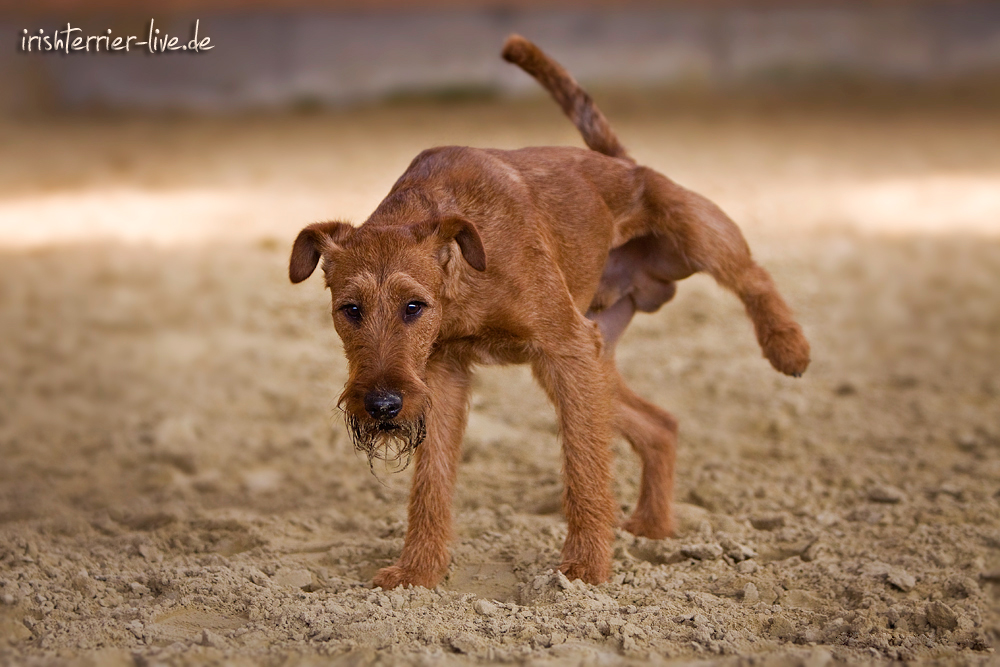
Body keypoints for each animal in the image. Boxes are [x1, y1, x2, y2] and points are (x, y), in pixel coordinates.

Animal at [288, 36, 804, 588]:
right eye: (350, 309)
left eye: (414, 306)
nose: (382, 407)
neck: (464, 279)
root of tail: (619, 164)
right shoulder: (441, 374)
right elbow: (432, 482)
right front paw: (418, 571)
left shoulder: (564, 350)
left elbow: (583, 471)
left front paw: (585, 568)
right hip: (596, 361)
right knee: (660, 425)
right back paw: (653, 525)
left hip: (692, 235)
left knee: (752, 276)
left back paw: (789, 347)